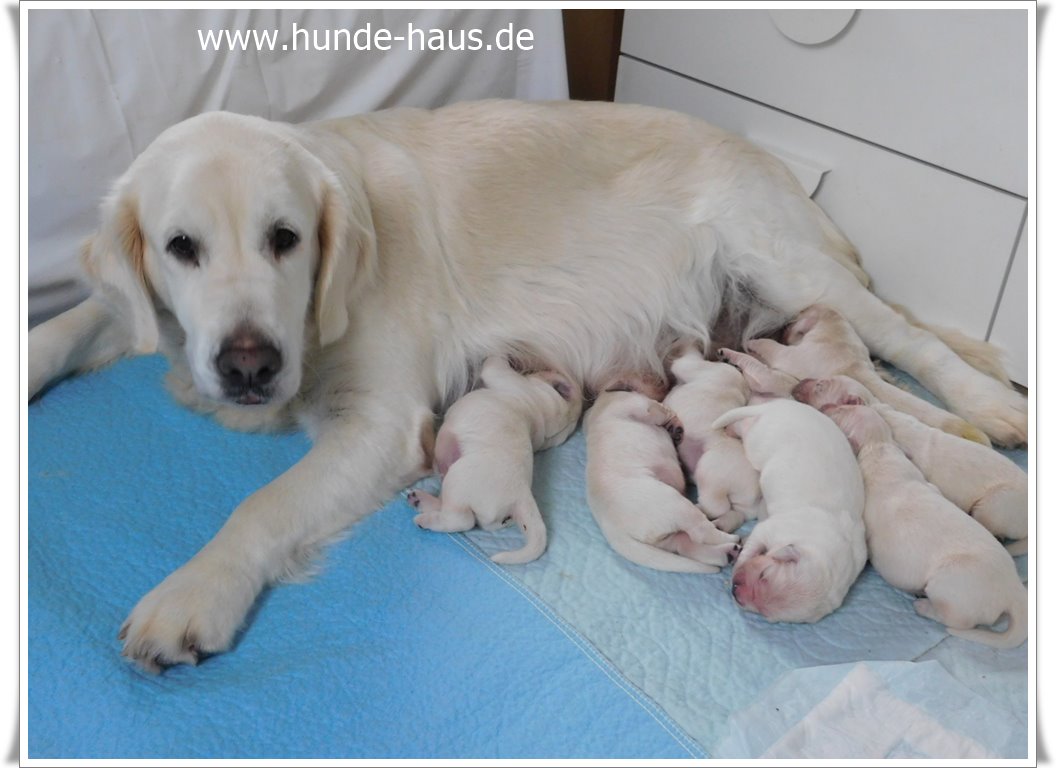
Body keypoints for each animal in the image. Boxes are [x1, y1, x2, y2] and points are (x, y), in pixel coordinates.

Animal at [407, 356, 581, 564]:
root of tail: (521, 495)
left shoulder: (508, 379)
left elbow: (494, 365)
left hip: (457, 480)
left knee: (461, 520)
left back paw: (425, 519)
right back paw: (420, 501)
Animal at [585, 387, 740, 573]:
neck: (601, 405)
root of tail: (614, 530)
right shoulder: (635, 406)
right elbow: (654, 411)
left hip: (665, 537)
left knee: (685, 544)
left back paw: (727, 553)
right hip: (674, 505)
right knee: (700, 533)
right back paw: (729, 539)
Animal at [663, 344, 763, 533]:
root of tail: (756, 497)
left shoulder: (692, 366)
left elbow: (686, 358)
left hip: (710, 470)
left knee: (717, 506)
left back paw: (700, 509)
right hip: (738, 505)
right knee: (733, 514)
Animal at [713, 399, 866, 623]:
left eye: (766, 613)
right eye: (764, 575)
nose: (734, 590)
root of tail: (776, 405)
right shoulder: (772, 529)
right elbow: (753, 544)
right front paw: (738, 562)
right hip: (758, 442)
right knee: (746, 427)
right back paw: (731, 428)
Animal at [824, 404, 1027, 648]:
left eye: (842, 413)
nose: (828, 407)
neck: (879, 447)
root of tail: (1013, 592)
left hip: (952, 583)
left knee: (957, 620)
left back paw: (923, 606)